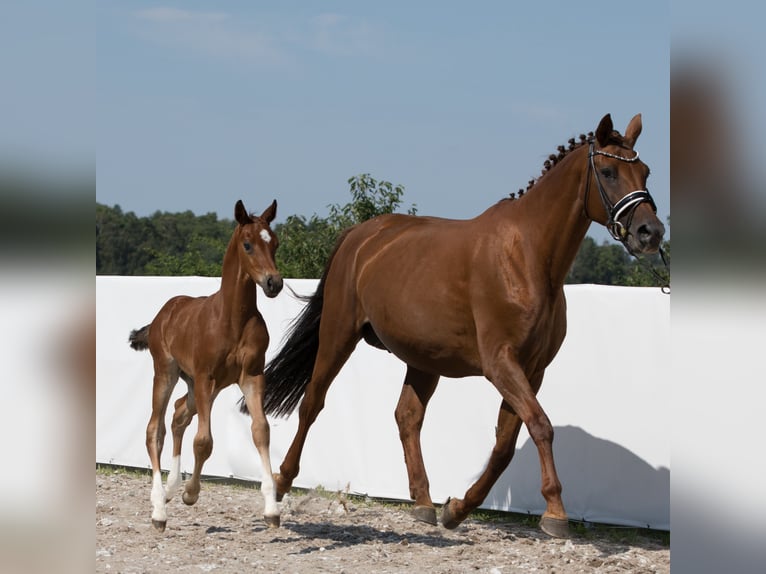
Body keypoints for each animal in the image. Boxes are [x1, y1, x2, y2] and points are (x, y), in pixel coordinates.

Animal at [129, 200, 284, 532]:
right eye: (248, 244)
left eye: (275, 243)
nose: (273, 283)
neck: (233, 318)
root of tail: (163, 314)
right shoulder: (205, 376)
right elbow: (204, 441)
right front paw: (190, 493)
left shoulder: (252, 377)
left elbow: (261, 430)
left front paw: (271, 509)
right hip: (168, 373)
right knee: (155, 429)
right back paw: (159, 508)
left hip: (198, 386)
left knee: (178, 414)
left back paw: (170, 488)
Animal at [244, 113, 664, 540]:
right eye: (609, 172)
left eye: (645, 171)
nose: (650, 232)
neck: (528, 257)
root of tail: (361, 235)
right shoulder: (500, 364)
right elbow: (541, 426)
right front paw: (555, 513)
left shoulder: (532, 370)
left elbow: (505, 444)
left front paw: (458, 508)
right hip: (338, 334)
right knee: (313, 402)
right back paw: (281, 482)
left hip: (423, 360)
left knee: (407, 417)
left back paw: (424, 503)